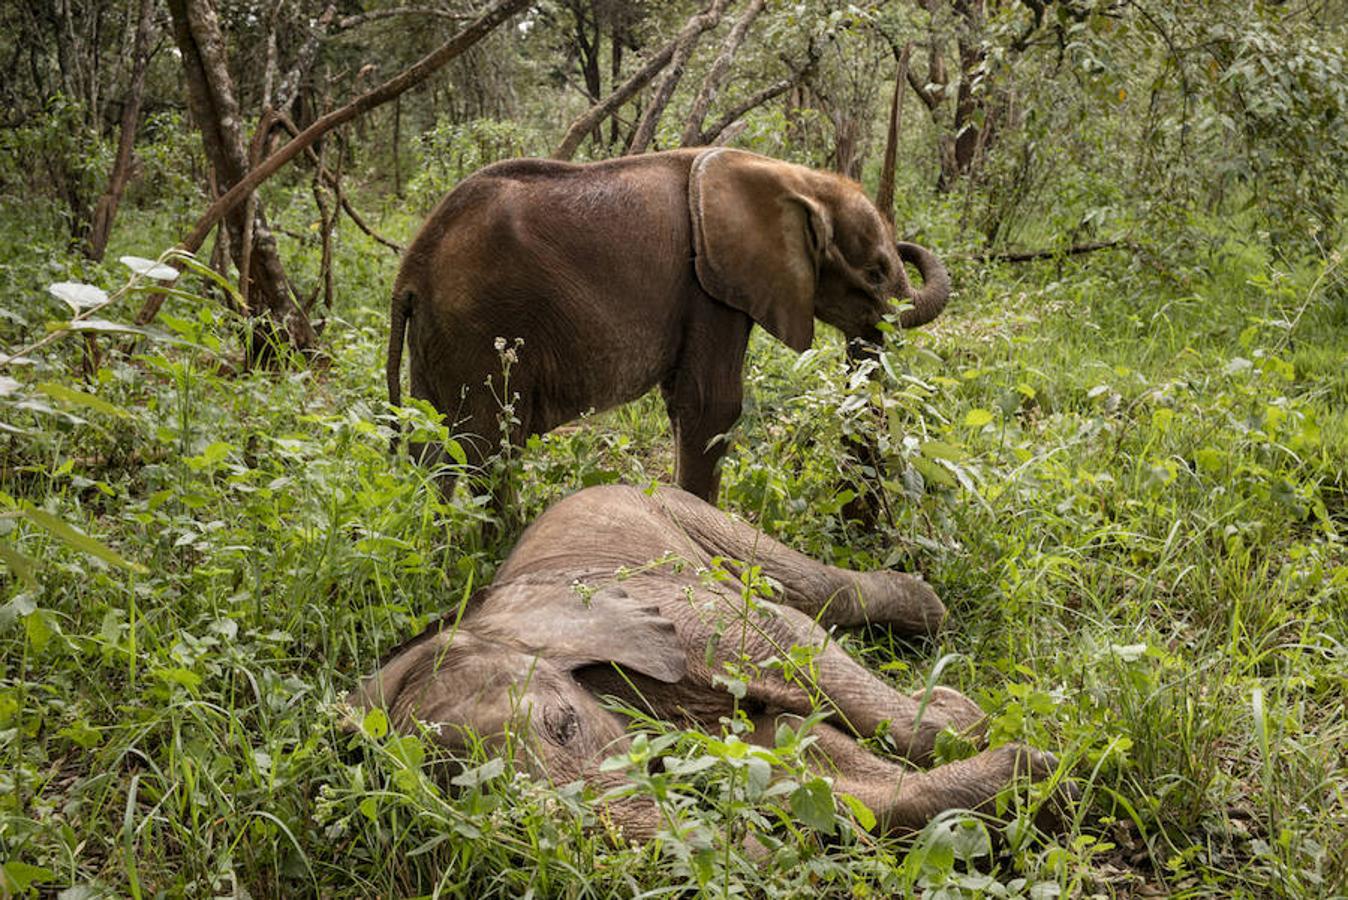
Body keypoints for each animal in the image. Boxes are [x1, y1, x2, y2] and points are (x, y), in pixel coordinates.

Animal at [350, 485, 1062, 846]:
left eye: (563, 727)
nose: (741, 845)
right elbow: (793, 755)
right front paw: (1028, 785)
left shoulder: (687, 620)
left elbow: (793, 645)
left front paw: (982, 731)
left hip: (691, 515)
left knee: (810, 590)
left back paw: (930, 614)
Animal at [382, 147, 948, 498]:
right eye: (875, 272)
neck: (793, 177)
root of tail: (409, 274)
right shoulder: (708, 284)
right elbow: (711, 407)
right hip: (480, 329)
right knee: (492, 449)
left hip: (437, 341)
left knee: (433, 450)